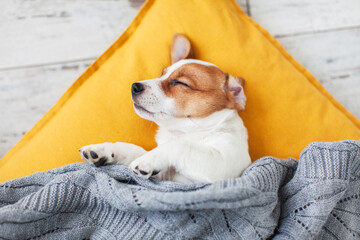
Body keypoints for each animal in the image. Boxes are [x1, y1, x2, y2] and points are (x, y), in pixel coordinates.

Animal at [80, 33, 252, 184]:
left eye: (180, 83)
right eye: (161, 74)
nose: (134, 86)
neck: (185, 132)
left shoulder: (222, 164)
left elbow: (180, 145)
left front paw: (147, 160)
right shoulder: (162, 175)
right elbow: (135, 149)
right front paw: (105, 149)